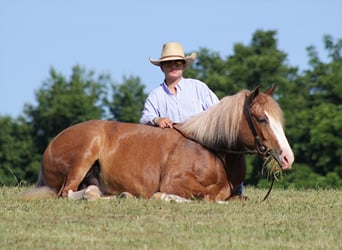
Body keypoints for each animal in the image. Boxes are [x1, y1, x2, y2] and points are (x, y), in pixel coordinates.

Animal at [21, 87, 294, 202]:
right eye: (261, 119)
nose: (287, 157)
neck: (210, 150)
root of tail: (53, 143)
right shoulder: (175, 182)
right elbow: (203, 197)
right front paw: (162, 197)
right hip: (85, 154)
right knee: (69, 193)